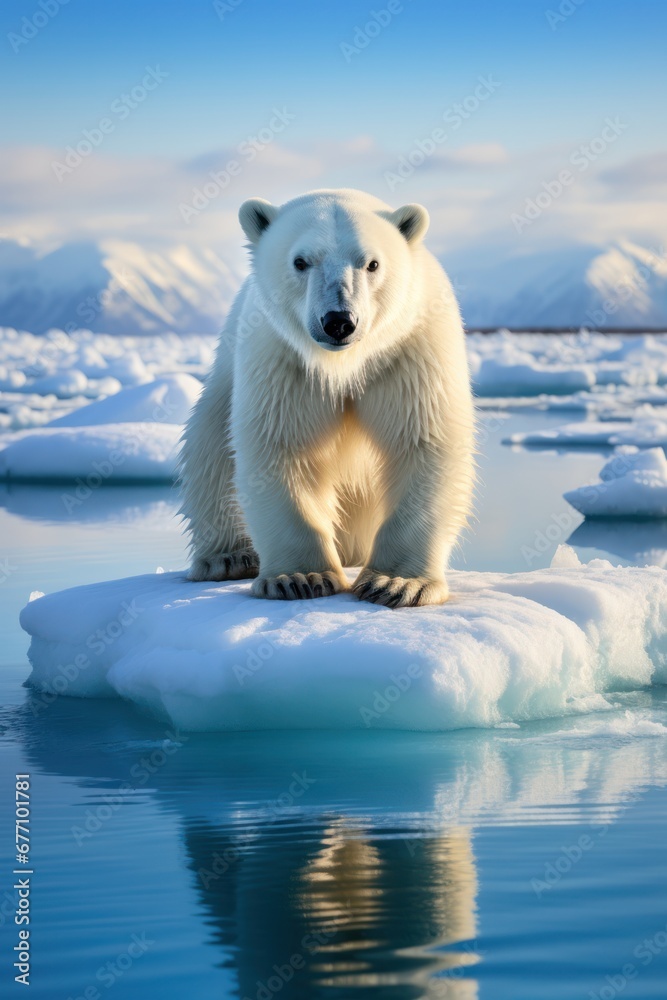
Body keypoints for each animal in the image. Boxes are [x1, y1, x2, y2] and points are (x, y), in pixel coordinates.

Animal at [179, 189, 474, 608]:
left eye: (371, 263)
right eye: (300, 261)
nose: (339, 321)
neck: (343, 365)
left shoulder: (410, 349)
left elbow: (423, 441)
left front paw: (396, 583)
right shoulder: (283, 359)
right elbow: (282, 446)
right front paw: (301, 577)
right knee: (209, 444)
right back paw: (228, 557)